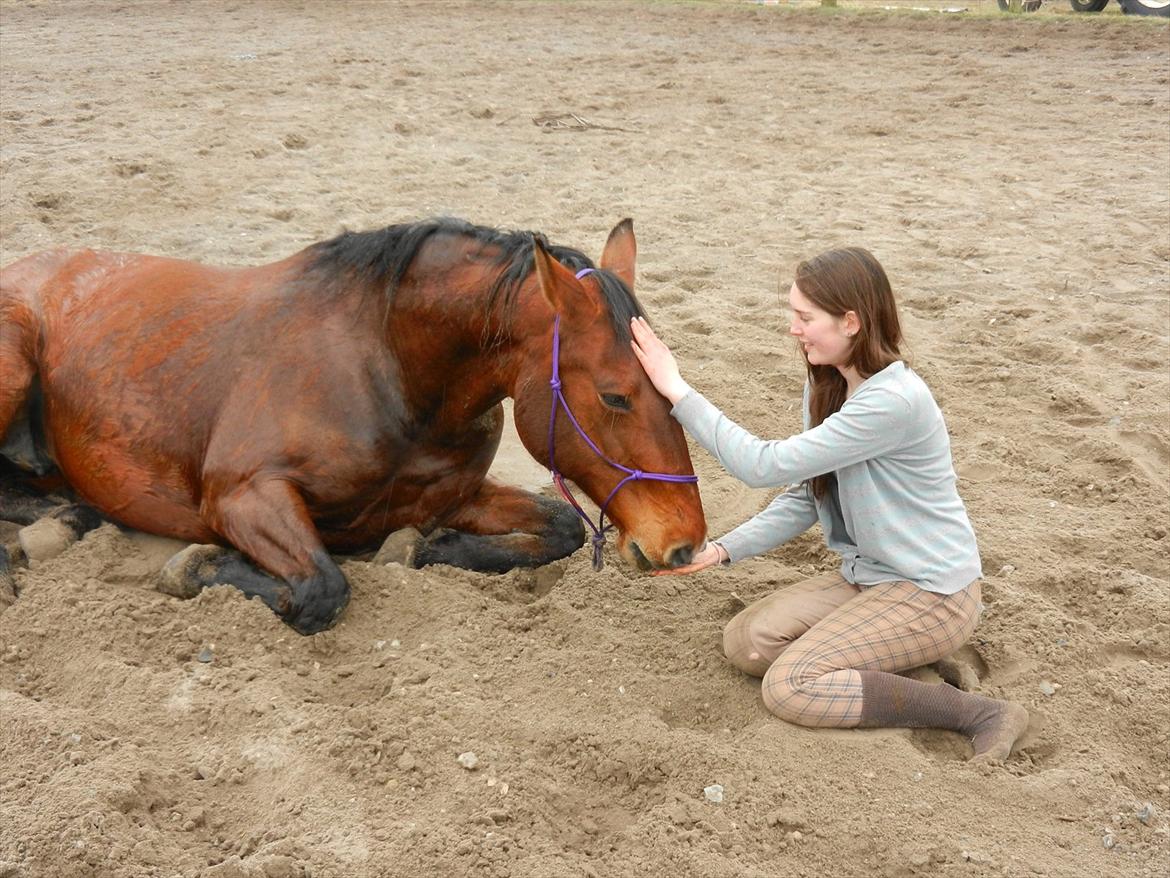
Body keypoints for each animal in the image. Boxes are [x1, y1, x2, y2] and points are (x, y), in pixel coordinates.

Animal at [0, 218, 706, 632]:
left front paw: (423, 547)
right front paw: (194, 564)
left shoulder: (457, 496)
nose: (684, 544)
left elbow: (559, 527)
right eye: (615, 396)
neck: (391, 367)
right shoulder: (241, 495)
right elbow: (320, 587)